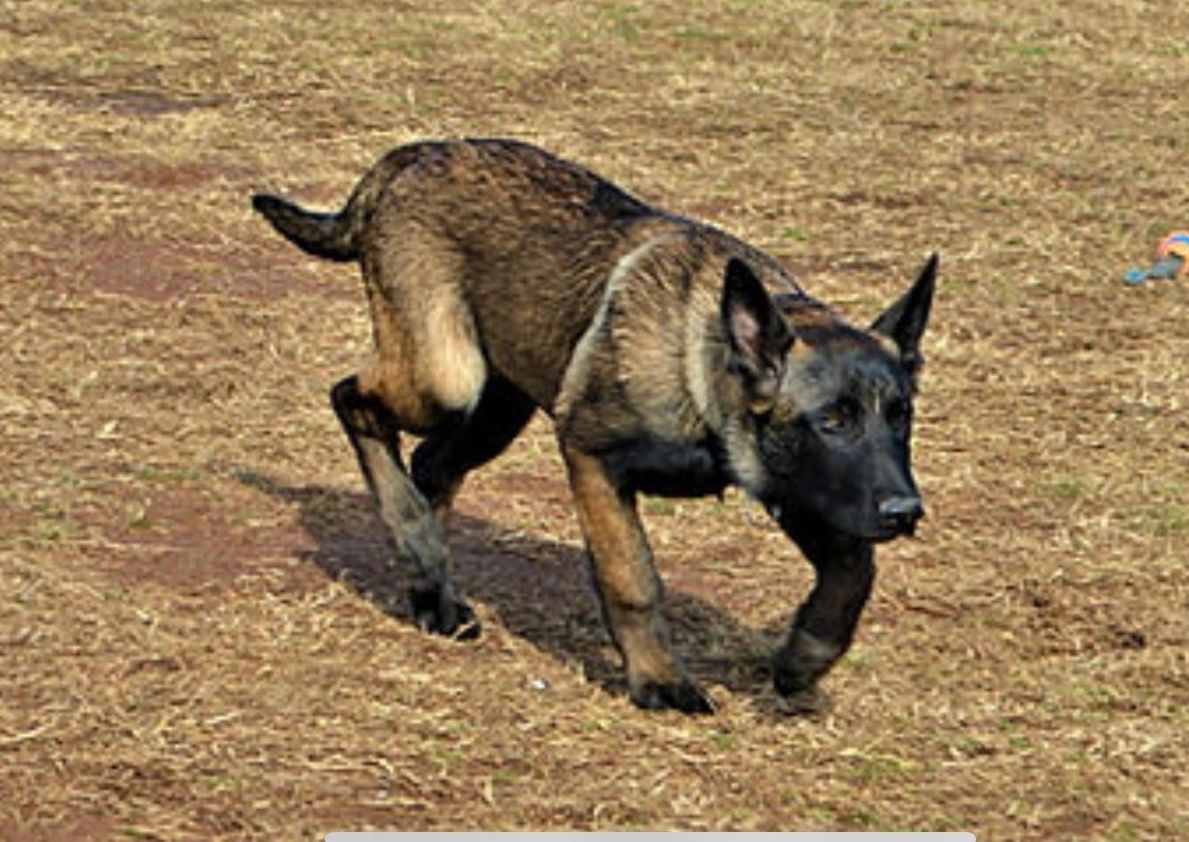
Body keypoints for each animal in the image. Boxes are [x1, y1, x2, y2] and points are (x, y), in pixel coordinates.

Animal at [253, 136, 936, 708]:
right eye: (832, 421)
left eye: (900, 417)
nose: (906, 513)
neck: (701, 364)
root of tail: (417, 153)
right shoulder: (592, 458)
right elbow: (632, 577)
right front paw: (659, 682)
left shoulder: (804, 488)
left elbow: (852, 574)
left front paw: (803, 660)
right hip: (446, 378)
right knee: (353, 400)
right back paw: (419, 551)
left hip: (498, 403)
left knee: (430, 466)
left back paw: (430, 584)